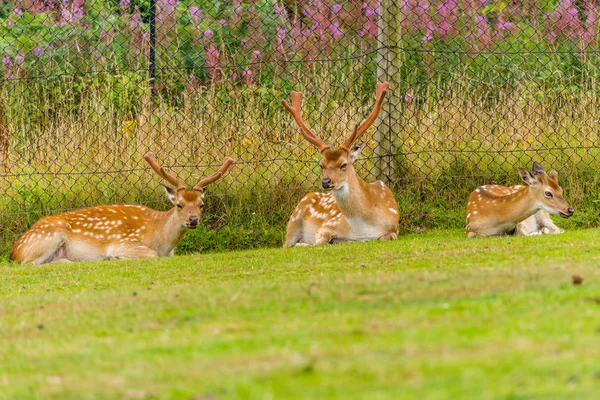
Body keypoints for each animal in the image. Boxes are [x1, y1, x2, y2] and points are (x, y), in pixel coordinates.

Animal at [11, 155, 234, 264]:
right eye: (179, 204)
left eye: (201, 205)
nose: (193, 220)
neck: (161, 239)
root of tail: (16, 250)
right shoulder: (122, 243)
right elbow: (149, 254)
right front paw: (113, 257)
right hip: (49, 237)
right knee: (30, 263)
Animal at [282, 81, 398, 247]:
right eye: (321, 165)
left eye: (344, 164)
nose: (325, 181)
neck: (363, 228)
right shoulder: (328, 225)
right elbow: (320, 241)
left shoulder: (395, 228)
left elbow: (385, 236)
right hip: (294, 219)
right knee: (286, 244)